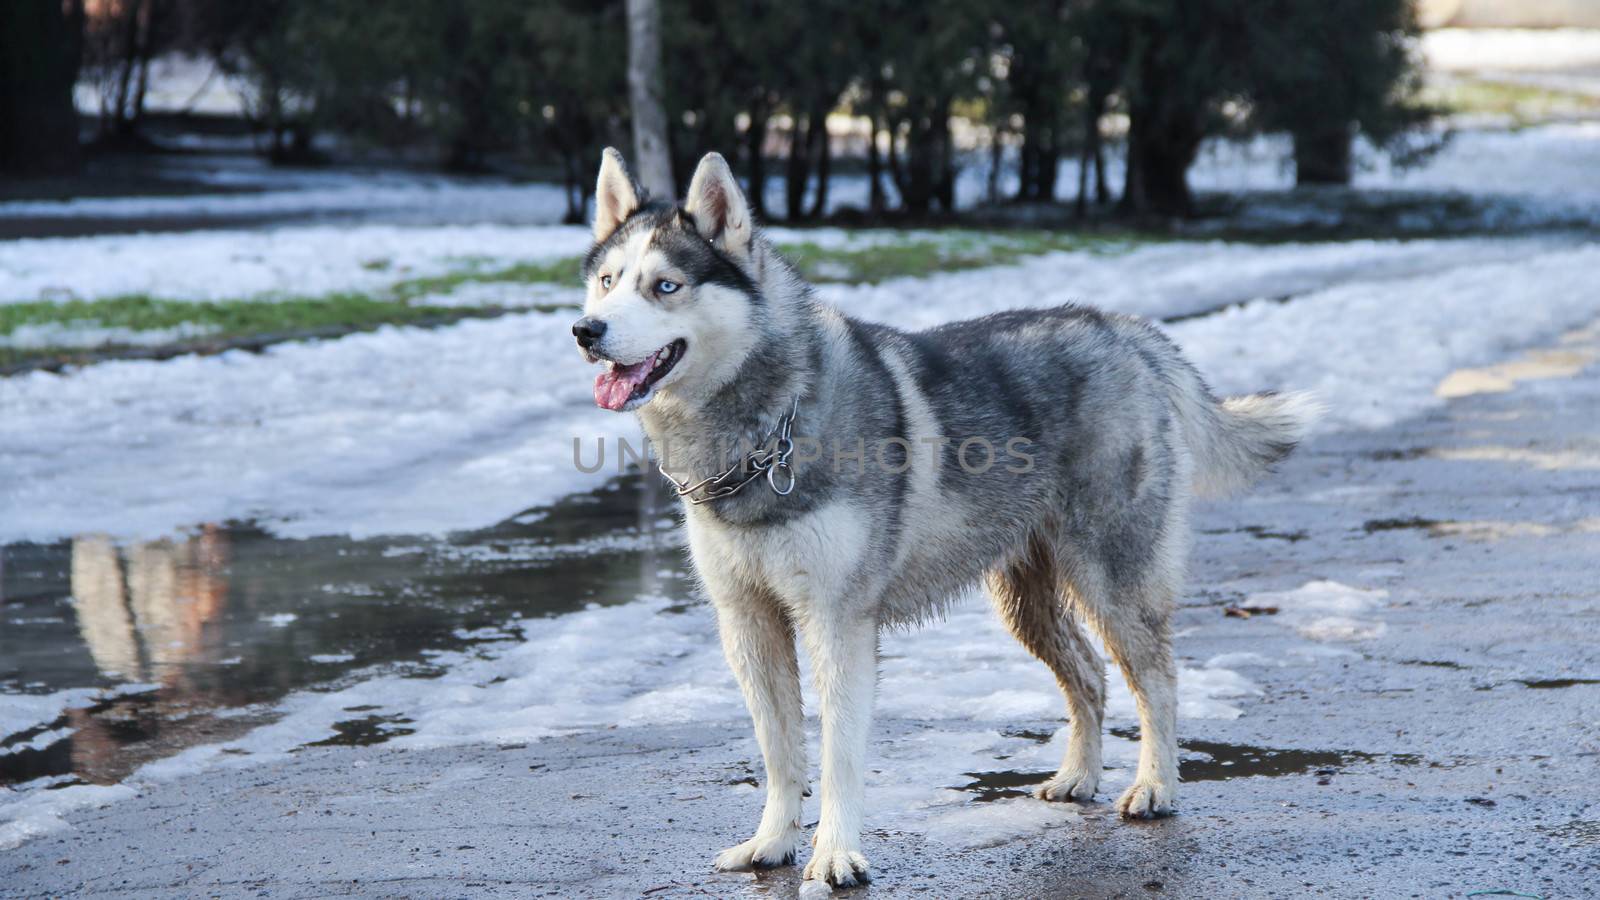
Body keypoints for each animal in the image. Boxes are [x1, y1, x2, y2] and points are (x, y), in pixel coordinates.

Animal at [572, 148, 1312, 883]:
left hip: (1115, 585)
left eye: (665, 286)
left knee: (1155, 680)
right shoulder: (748, 623)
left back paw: (1155, 786)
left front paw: (835, 854)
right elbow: (780, 751)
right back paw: (1078, 777)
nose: (585, 331)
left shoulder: (838, 623)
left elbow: (837, 755)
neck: (765, 433)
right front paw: (772, 843)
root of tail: (1126, 332)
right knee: (1089, 676)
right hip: (1025, 604)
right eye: (607, 282)